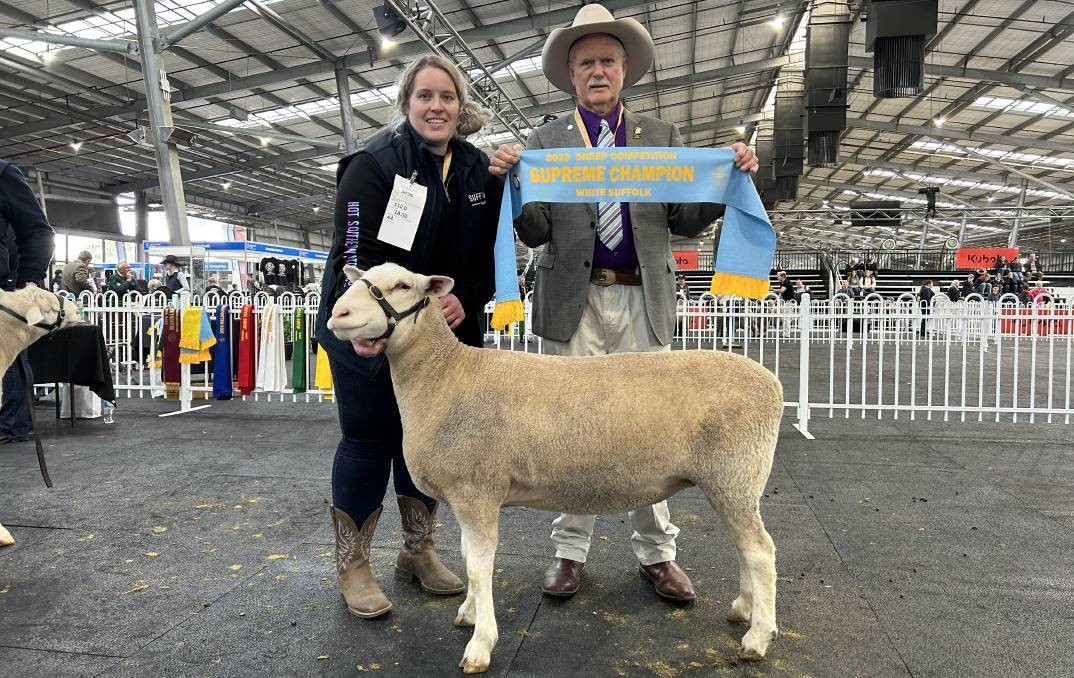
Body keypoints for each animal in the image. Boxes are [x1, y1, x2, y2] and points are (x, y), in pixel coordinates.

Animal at [326, 265, 781, 674]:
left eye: (403, 286)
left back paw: (757, 638)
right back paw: (743, 610)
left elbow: (479, 565)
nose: (338, 314)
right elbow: (468, 557)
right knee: (746, 548)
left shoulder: (477, 489)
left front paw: (480, 645)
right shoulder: (465, 495)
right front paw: (470, 613)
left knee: (761, 551)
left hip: (736, 474)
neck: (446, 377)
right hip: (731, 482)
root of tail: (772, 383)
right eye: (359, 278)